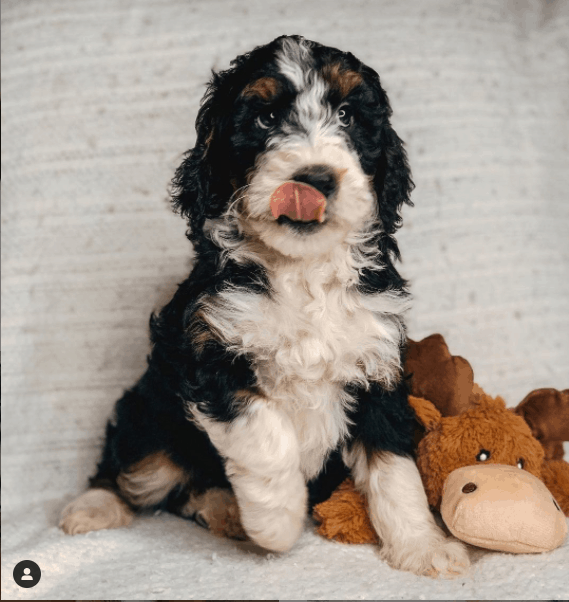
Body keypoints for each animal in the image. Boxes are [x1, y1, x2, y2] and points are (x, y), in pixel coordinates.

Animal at [61, 34, 470, 576]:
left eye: (347, 115)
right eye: (265, 119)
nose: (314, 179)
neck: (302, 270)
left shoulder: (377, 367)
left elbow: (394, 468)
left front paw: (422, 547)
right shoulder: (210, 351)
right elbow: (267, 438)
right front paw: (278, 523)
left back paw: (223, 509)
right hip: (152, 420)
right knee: (135, 470)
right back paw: (94, 507)